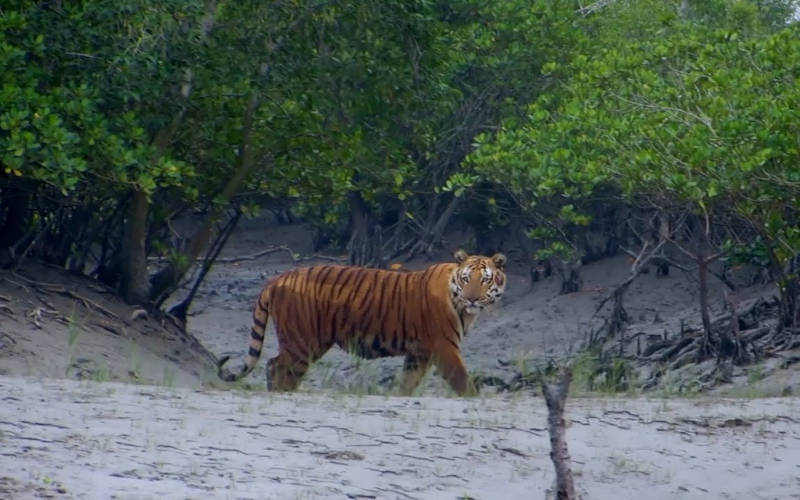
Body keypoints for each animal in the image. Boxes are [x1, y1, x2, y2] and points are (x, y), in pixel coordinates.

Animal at [219, 250, 506, 394]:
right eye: (467, 279)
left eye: (485, 279)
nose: (472, 298)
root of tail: (276, 278)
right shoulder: (444, 347)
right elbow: (463, 381)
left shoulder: (419, 353)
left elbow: (407, 383)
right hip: (302, 341)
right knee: (277, 366)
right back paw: (282, 394)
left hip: (310, 342)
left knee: (277, 367)